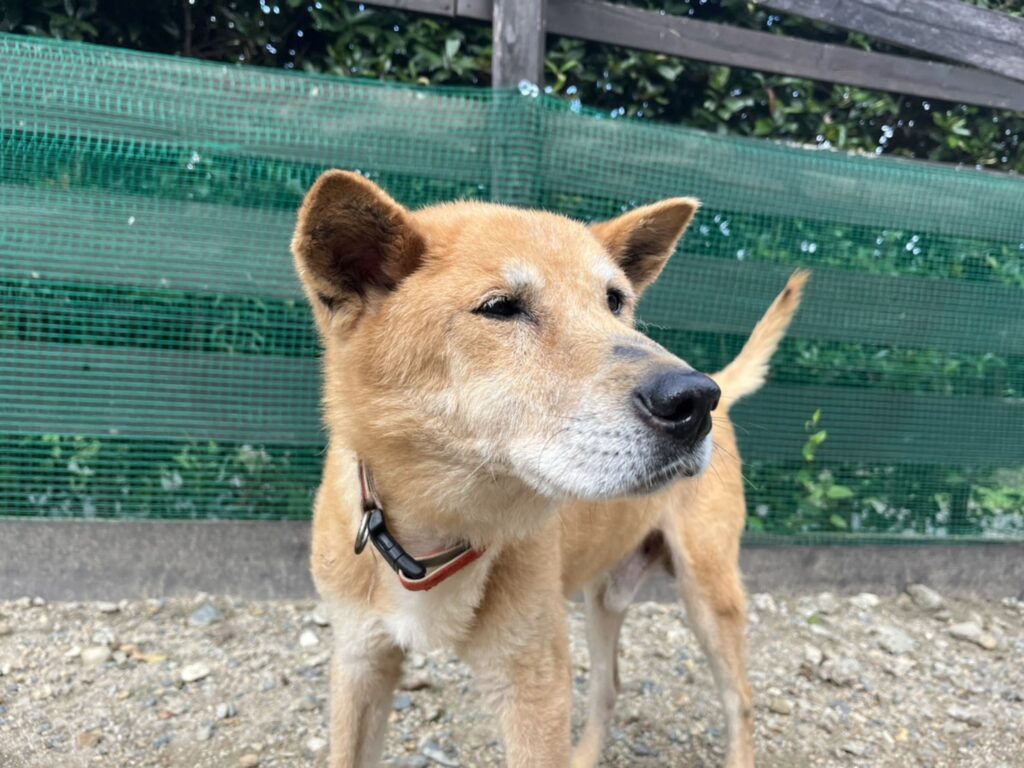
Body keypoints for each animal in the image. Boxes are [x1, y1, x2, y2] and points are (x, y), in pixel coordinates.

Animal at [290, 169, 808, 768]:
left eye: (615, 301)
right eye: (501, 307)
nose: (695, 401)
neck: (438, 533)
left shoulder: (532, 683)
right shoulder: (360, 662)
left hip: (709, 595)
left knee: (738, 699)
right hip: (605, 599)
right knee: (609, 686)